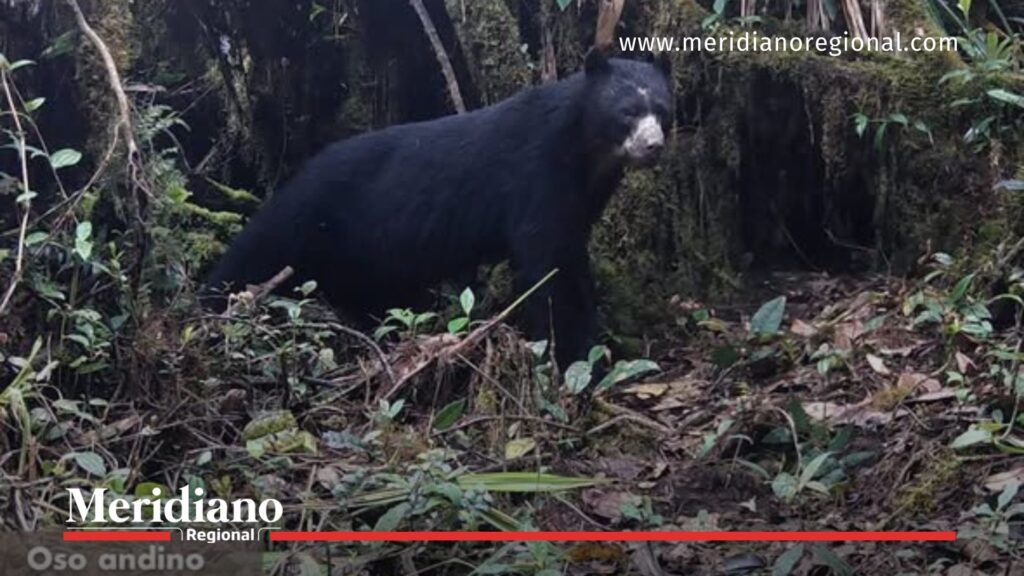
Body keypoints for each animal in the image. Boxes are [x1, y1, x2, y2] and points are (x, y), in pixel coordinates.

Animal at [204, 49, 672, 370]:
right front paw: (573, 356)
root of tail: (299, 171)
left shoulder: (582, 197)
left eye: (664, 111)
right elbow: (546, 264)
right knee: (254, 253)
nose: (653, 147)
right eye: (627, 112)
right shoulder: (536, 175)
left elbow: (571, 254)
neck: (588, 154)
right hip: (309, 216)